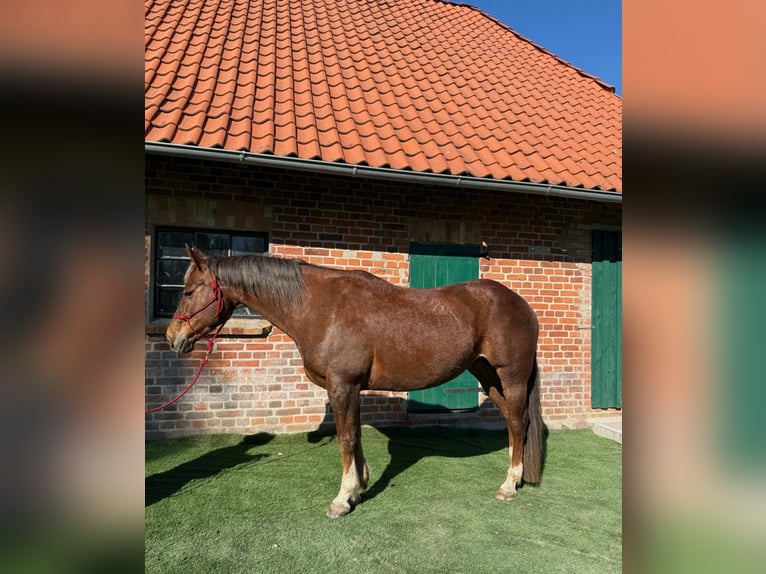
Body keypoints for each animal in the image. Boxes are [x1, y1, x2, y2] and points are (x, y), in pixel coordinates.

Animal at [165, 245, 544, 518]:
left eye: (188, 292)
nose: (172, 337)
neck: (320, 307)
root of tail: (520, 304)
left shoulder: (342, 385)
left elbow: (345, 439)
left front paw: (342, 499)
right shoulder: (351, 388)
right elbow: (356, 436)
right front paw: (359, 488)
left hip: (510, 376)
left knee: (517, 422)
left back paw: (509, 485)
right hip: (486, 374)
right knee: (514, 423)